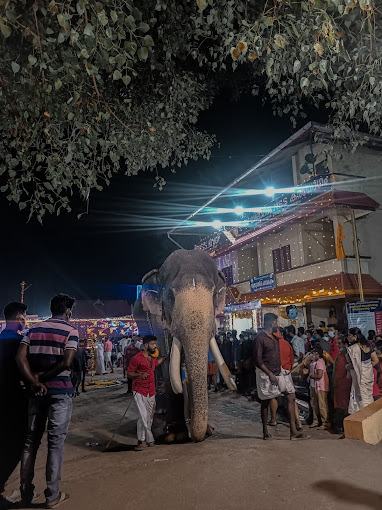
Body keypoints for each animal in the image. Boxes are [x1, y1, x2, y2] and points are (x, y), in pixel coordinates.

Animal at [140, 249, 236, 440]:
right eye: (170, 295)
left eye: (214, 294)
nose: (192, 432)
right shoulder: (157, 320)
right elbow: (167, 361)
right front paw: (176, 434)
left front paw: (205, 430)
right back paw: (160, 410)